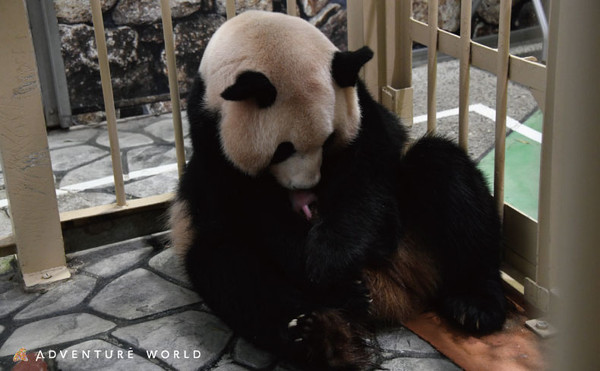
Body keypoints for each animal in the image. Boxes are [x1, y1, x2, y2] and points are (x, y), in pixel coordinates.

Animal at [169, 10, 506, 370]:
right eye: (282, 150)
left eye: (329, 140)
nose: (307, 187)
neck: (255, 32)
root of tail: (396, 294)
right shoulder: (211, 139)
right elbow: (257, 212)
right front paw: (331, 279)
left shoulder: (362, 105)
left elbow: (366, 175)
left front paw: (329, 258)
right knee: (229, 269)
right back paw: (324, 336)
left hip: (418, 238)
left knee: (446, 174)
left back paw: (475, 305)